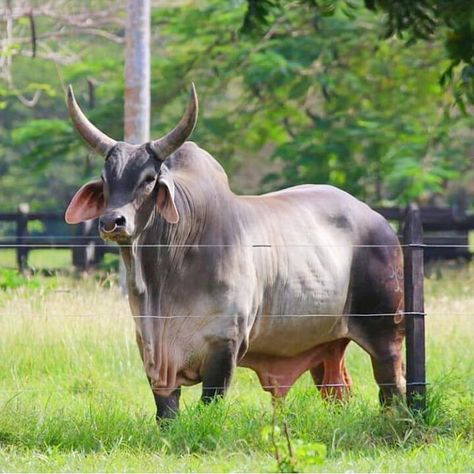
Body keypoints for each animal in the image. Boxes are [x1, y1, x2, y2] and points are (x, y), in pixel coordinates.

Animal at [64, 84, 404, 418]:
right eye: (106, 179)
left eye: (148, 179)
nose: (112, 221)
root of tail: (380, 222)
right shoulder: (152, 352)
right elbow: (167, 415)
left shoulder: (225, 343)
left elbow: (210, 404)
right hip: (327, 345)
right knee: (338, 392)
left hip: (386, 331)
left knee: (392, 386)